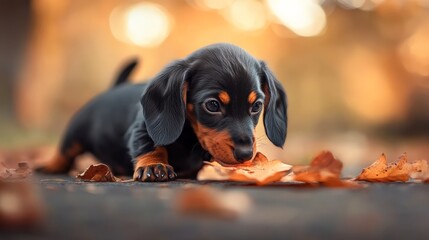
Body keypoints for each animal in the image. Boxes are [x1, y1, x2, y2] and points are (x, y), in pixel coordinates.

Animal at [39, 43, 288, 182]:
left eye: (256, 106)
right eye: (212, 105)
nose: (246, 154)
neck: (190, 137)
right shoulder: (141, 128)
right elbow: (151, 144)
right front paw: (153, 165)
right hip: (75, 132)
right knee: (65, 152)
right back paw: (50, 165)